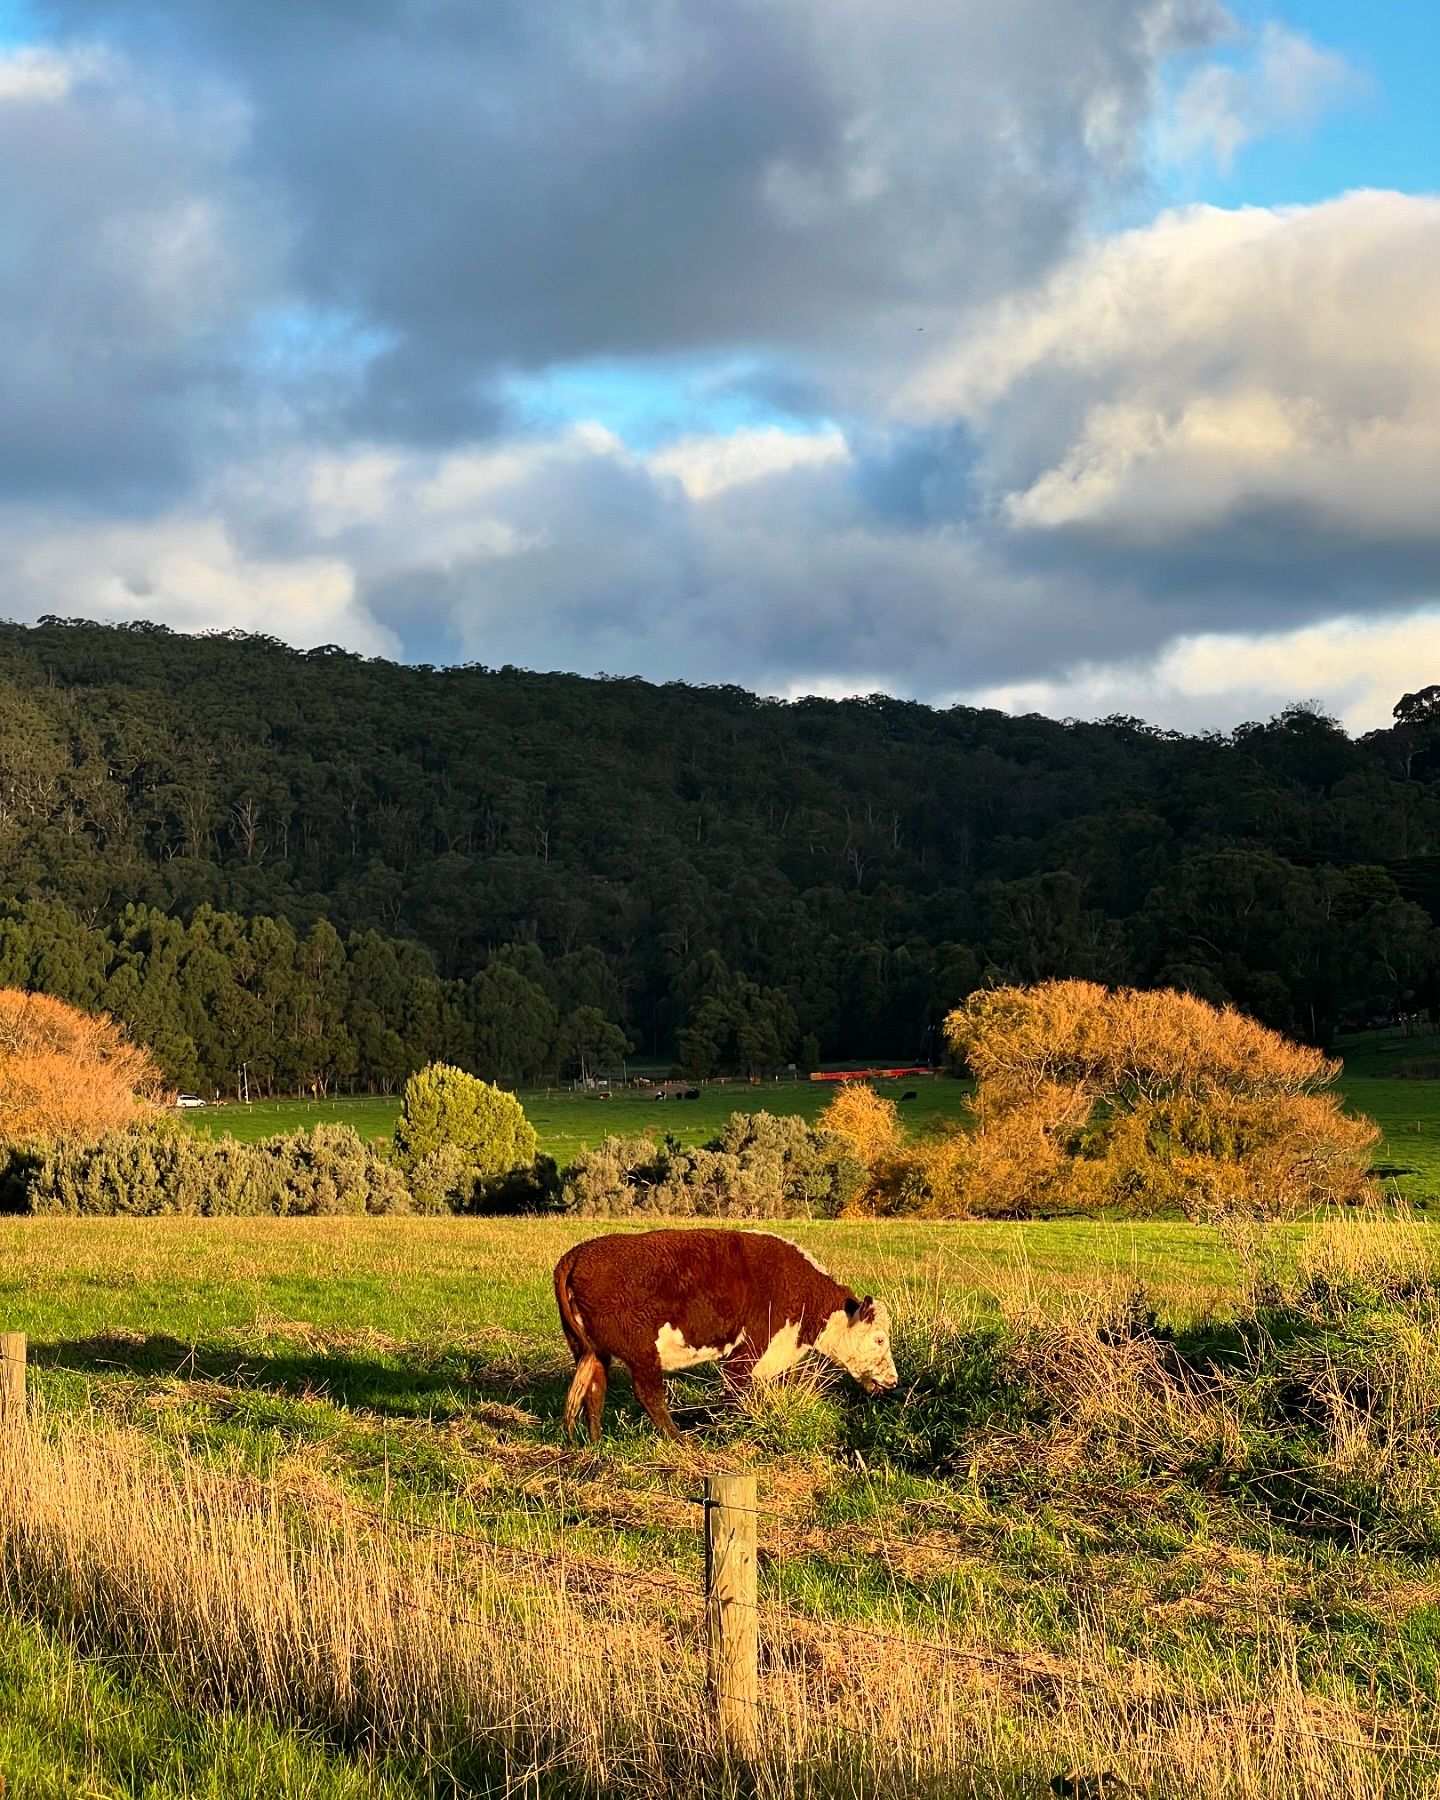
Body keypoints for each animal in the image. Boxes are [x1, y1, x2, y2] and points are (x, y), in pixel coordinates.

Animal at [554, 1231, 900, 1440]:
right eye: (879, 1339)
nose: (894, 1381)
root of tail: (578, 1254)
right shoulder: (747, 1351)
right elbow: (734, 1394)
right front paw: (732, 1436)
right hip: (642, 1353)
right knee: (648, 1395)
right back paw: (682, 1443)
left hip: (592, 1351)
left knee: (594, 1391)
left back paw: (596, 1442)